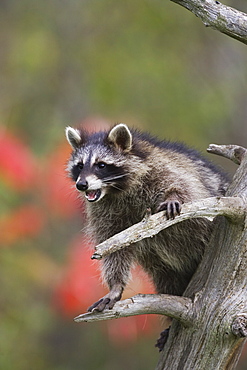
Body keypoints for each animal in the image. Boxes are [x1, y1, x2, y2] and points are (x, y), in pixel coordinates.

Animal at [65, 124, 228, 316]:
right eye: (80, 166)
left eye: (101, 165)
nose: (81, 185)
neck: (114, 190)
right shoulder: (104, 211)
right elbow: (113, 246)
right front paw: (115, 286)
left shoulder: (161, 169)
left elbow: (186, 187)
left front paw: (174, 195)